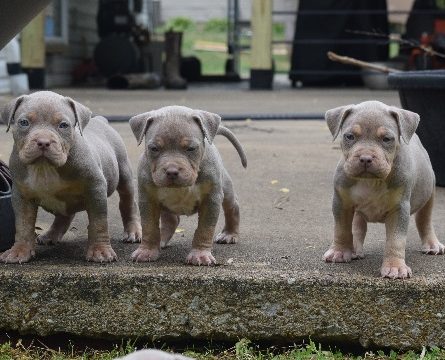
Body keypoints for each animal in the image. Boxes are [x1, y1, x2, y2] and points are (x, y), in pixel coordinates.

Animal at [0, 91, 141, 262]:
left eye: (63, 125)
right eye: (24, 122)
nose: (43, 142)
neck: (45, 168)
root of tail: (101, 120)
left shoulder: (95, 188)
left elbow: (99, 222)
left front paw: (100, 251)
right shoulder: (22, 196)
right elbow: (23, 225)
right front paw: (19, 251)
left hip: (124, 172)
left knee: (128, 202)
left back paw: (133, 230)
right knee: (65, 214)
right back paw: (51, 235)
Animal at [128, 105, 246, 266]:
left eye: (191, 148)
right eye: (154, 148)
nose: (172, 171)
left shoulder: (211, 199)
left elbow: (205, 229)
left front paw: (200, 255)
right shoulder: (148, 199)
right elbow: (149, 227)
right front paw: (146, 251)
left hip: (226, 190)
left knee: (232, 207)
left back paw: (229, 234)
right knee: (171, 219)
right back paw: (162, 239)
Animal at [320, 100, 442, 278]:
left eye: (387, 139)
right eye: (349, 136)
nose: (365, 158)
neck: (372, 182)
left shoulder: (399, 209)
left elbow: (395, 240)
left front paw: (395, 267)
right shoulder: (341, 203)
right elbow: (341, 229)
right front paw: (340, 251)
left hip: (429, 194)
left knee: (424, 220)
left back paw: (432, 244)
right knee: (358, 226)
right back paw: (354, 249)